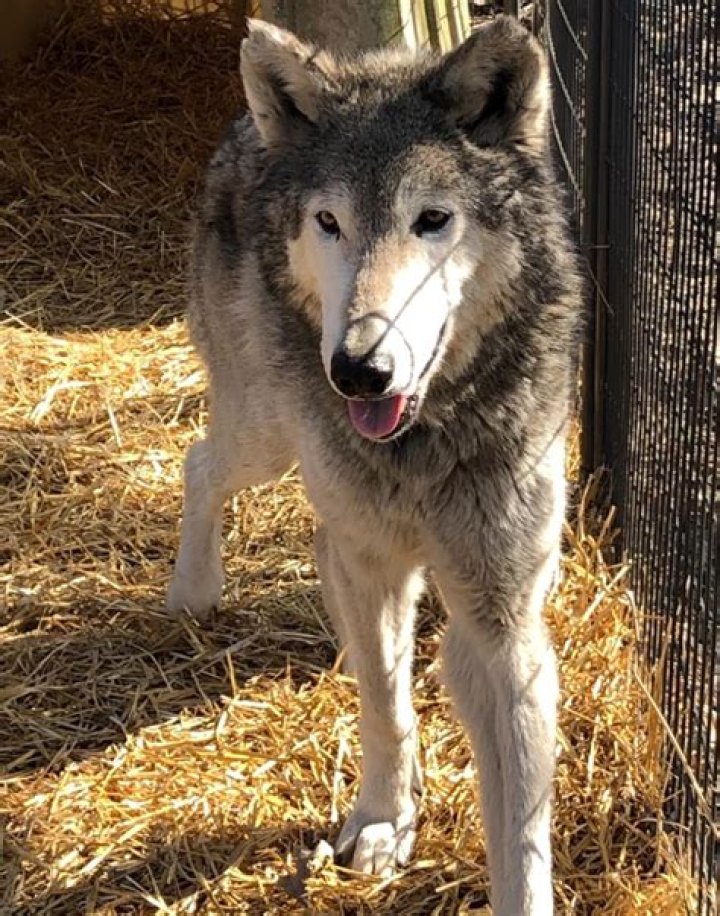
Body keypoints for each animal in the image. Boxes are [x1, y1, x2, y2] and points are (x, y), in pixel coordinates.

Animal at [167, 15, 582, 915]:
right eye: (330, 221)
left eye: (432, 219)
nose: (360, 370)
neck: (422, 441)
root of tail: (249, 125)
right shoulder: (378, 565)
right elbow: (386, 708)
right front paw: (386, 821)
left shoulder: (502, 621)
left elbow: (522, 831)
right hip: (265, 437)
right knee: (199, 461)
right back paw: (194, 590)